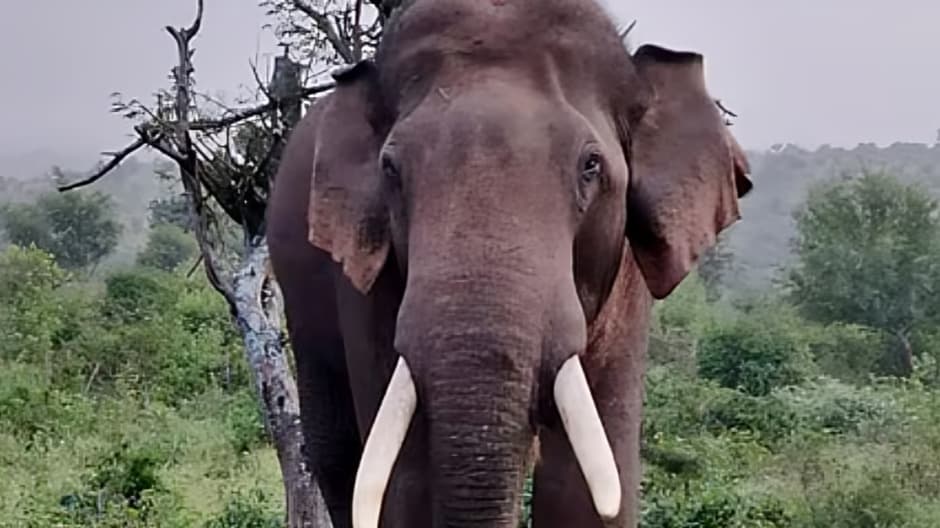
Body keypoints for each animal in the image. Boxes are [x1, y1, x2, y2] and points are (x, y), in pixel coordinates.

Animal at [266, 0, 752, 527]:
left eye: (590, 166)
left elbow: (587, 486)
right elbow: (404, 479)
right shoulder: (368, 281)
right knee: (337, 457)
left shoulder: (626, 286)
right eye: (390, 169)